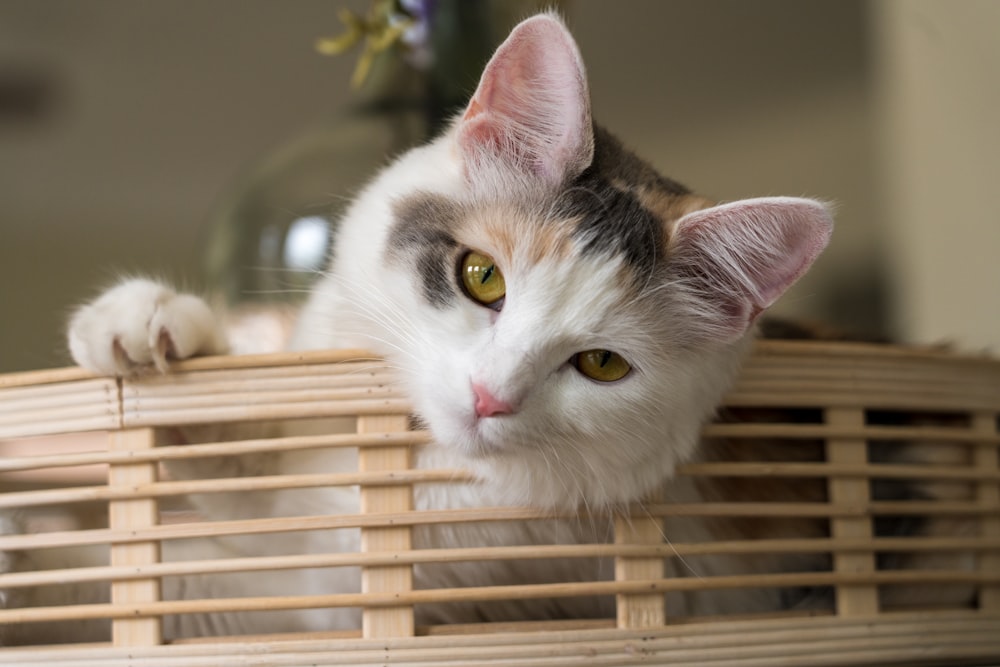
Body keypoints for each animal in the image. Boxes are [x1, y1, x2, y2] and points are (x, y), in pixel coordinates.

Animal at [3, 13, 840, 644]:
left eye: (602, 363)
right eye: (483, 277)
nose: (490, 396)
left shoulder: (335, 588)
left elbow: (211, 551)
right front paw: (144, 318)